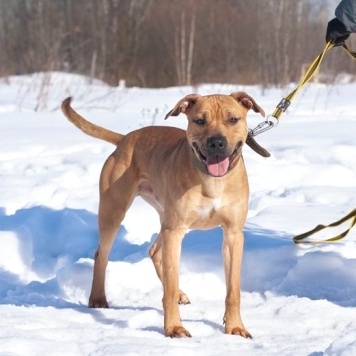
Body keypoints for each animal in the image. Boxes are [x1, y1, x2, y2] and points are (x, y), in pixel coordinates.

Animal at [60, 93, 268, 338]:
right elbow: (168, 287)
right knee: (101, 255)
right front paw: (174, 328)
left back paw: (179, 293)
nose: (216, 142)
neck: (212, 180)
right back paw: (98, 298)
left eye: (233, 119)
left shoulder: (233, 234)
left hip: (164, 216)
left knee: (154, 251)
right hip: (115, 211)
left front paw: (235, 326)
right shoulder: (175, 231)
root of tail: (124, 140)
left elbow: (233, 289)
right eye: (199, 121)